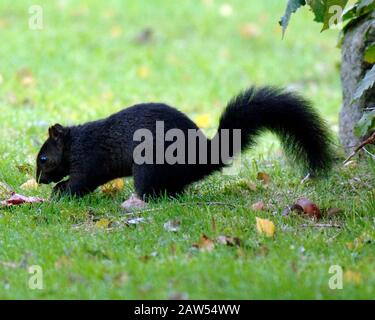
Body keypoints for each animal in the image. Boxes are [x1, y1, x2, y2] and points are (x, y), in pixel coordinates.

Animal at [36, 87, 334, 202]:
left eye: (43, 158)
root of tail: (204, 157)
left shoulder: (89, 160)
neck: (75, 143)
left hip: (149, 166)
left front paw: (61, 192)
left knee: (152, 191)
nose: (38, 180)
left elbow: (81, 183)